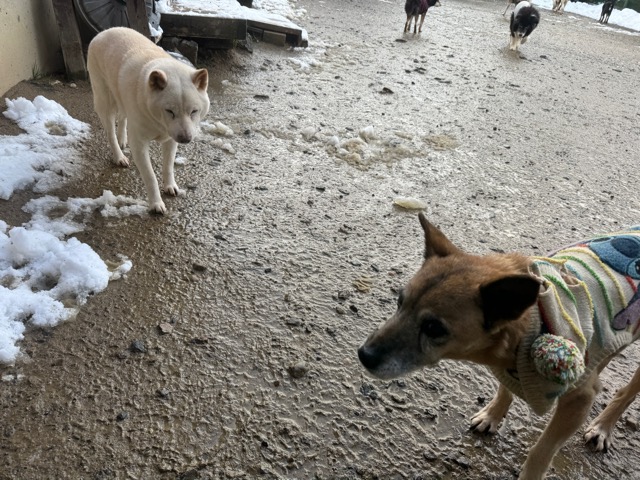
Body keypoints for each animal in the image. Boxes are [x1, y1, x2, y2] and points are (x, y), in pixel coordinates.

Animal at [87, 27, 210, 214]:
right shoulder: (139, 144)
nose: (185, 139)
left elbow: (168, 166)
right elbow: (150, 176)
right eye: (170, 111)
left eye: (194, 111)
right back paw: (119, 155)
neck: (159, 123)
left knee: (123, 118)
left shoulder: (171, 140)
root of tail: (105, 31)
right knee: (110, 132)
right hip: (105, 102)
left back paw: (122, 139)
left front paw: (170, 186)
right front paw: (156, 203)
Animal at [359, 213, 640, 479]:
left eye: (433, 328)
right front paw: (493, 415)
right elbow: (505, 390)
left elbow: (542, 450)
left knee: (625, 393)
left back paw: (604, 426)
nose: (364, 355)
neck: (533, 323)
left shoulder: (579, 402)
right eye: (400, 302)